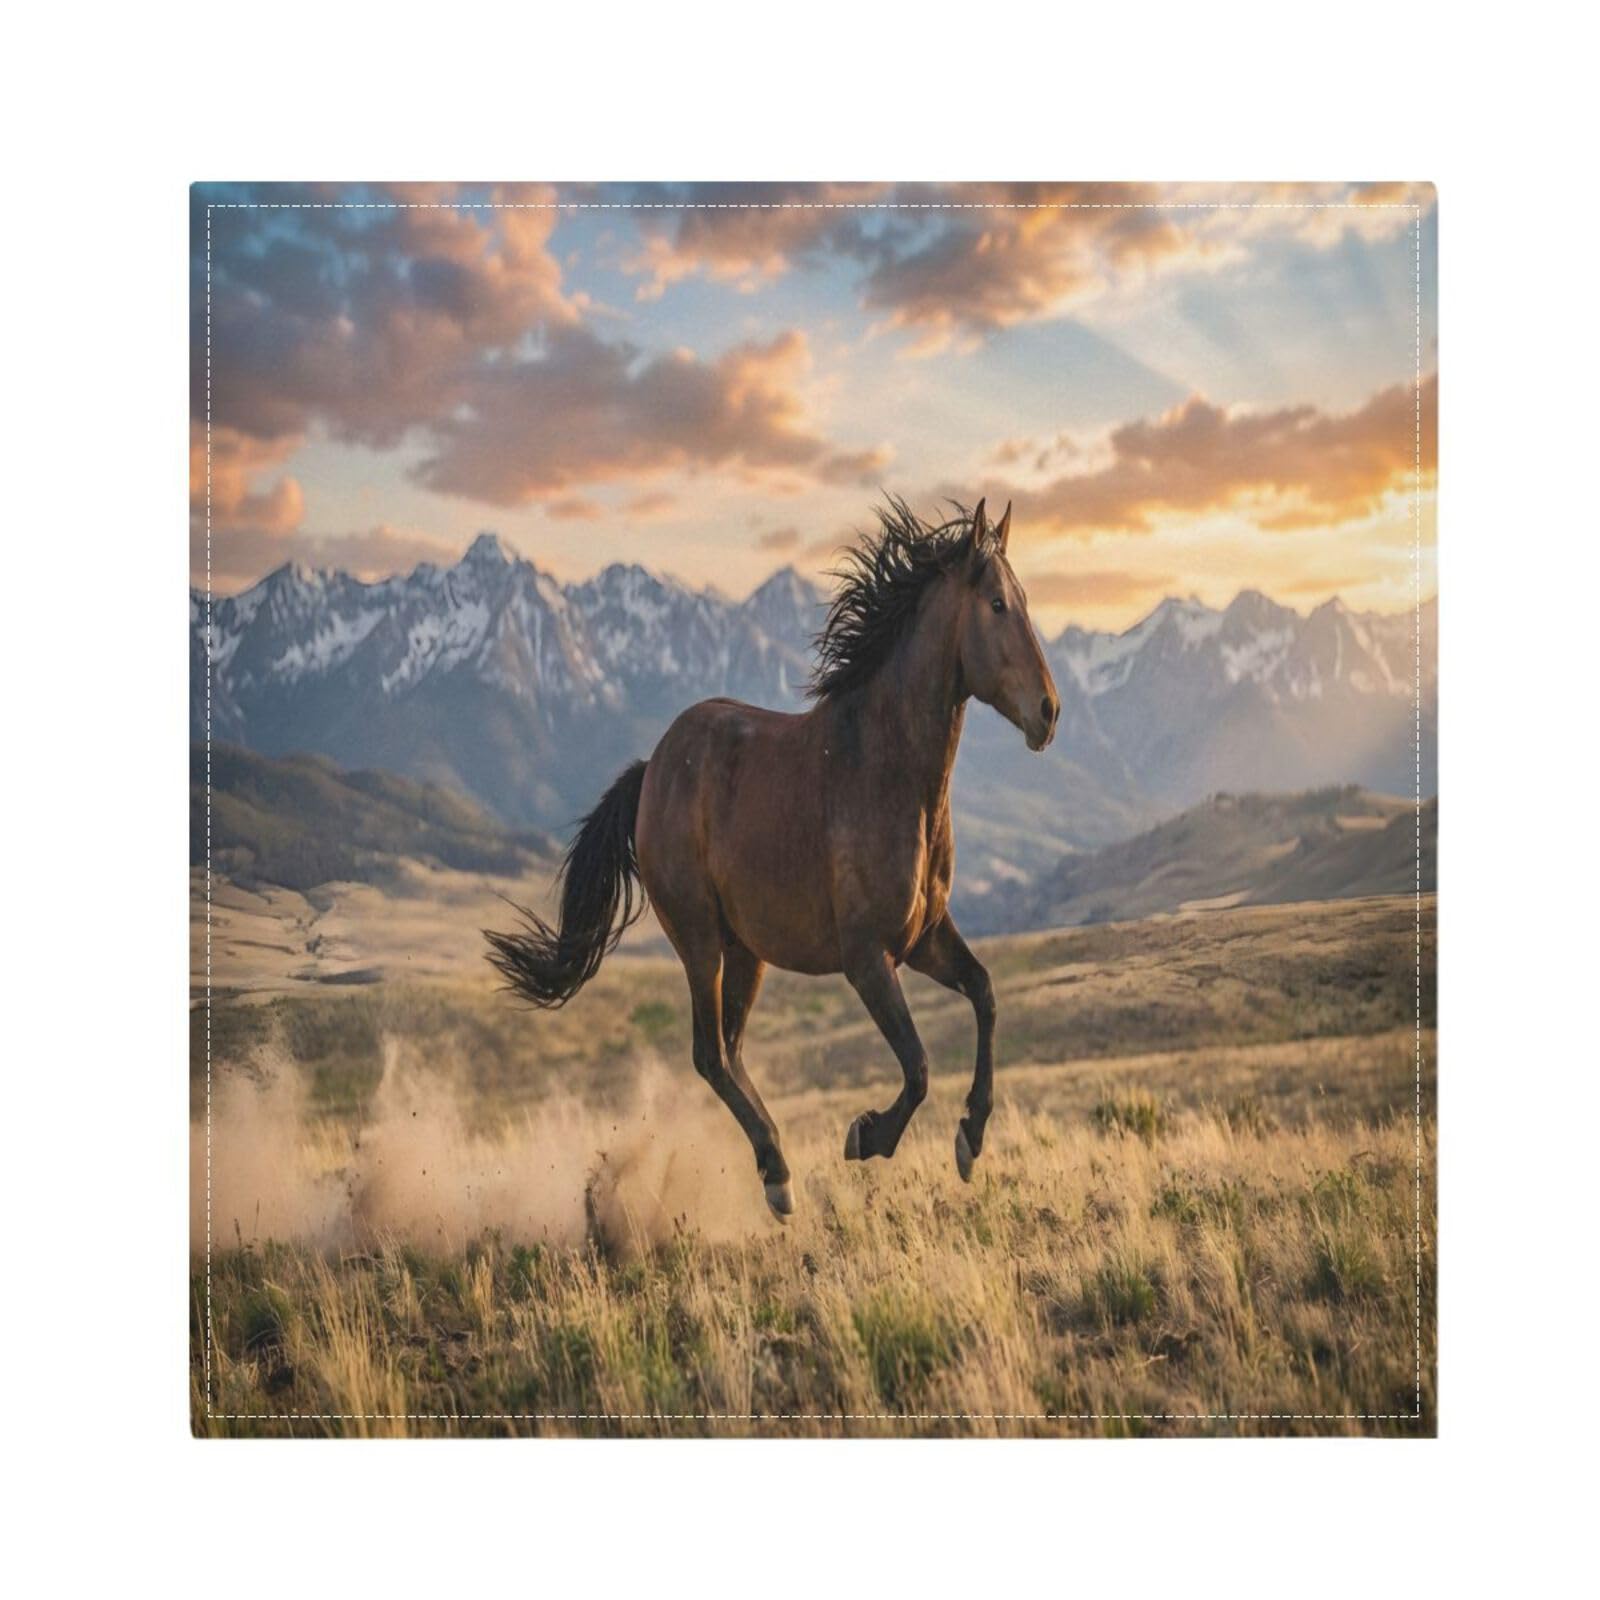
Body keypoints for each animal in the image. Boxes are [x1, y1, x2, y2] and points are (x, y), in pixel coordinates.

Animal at [485, 496, 1060, 1219]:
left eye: (1025, 600)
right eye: (996, 605)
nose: (1049, 712)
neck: (888, 771)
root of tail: (652, 770)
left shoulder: (923, 939)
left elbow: (984, 994)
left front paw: (970, 1138)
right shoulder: (867, 959)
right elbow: (919, 1066)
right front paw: (867, 1135)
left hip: (746, 951)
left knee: (731, 1051)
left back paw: (775, 1167)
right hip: (700, 940)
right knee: (709, 1055)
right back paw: (779, 1173)